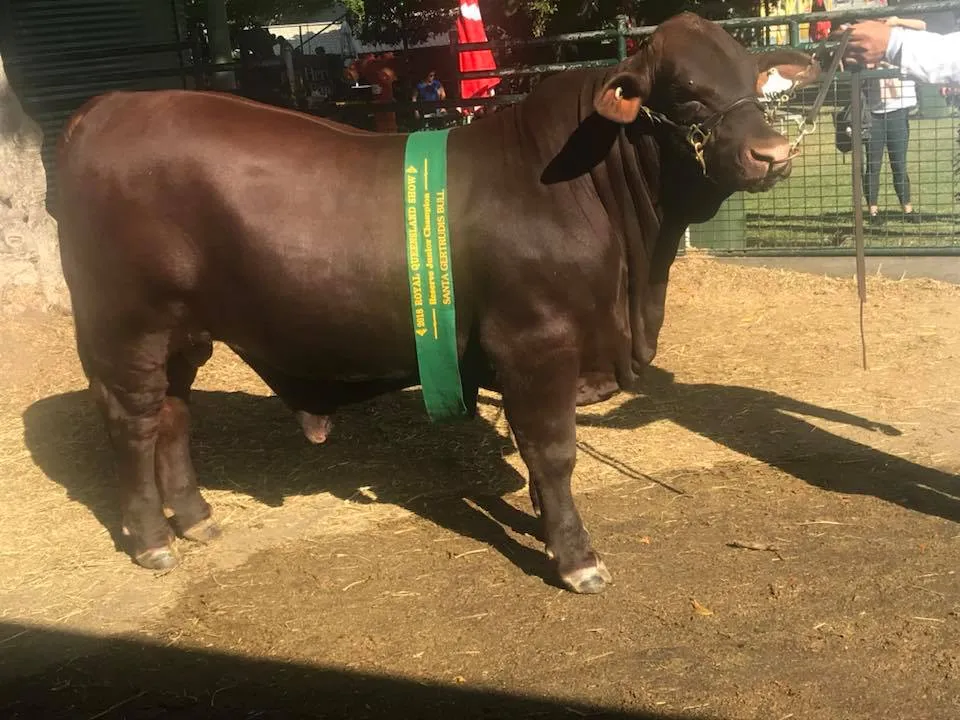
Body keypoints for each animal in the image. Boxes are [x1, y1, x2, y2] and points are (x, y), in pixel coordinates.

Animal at [55, 13, 819, 594]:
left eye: (753, 78)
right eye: (685, 89)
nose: (774, 155)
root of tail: (109, 106)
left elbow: (536, 463)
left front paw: (547, 529)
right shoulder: (536, 344)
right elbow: (554, 452)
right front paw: (576, 558)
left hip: (183, 330)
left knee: (173, 416)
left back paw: (197, 517)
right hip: (126, 324)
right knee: (133, 422)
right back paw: (152, 539)